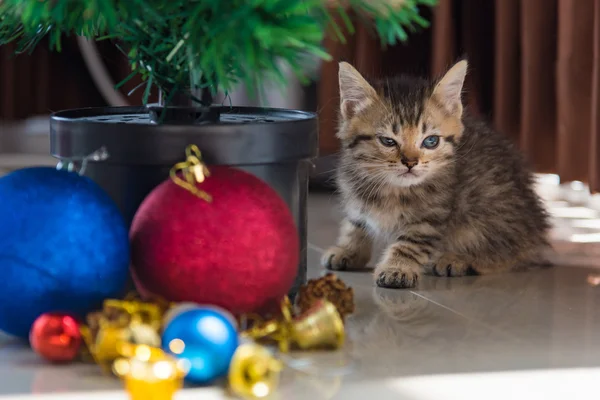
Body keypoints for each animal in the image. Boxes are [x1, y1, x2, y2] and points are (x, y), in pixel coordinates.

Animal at [322, 60, 552, 288]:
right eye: (388, 141)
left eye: (430, 141)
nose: (410, 163)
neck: (392, 188)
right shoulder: (354, 195)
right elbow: (355, 223)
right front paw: (347, 250)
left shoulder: (432, 216)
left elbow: (410, 243)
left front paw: (397, 268)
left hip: (491, 212)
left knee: (511, 252)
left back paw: (457, 260)